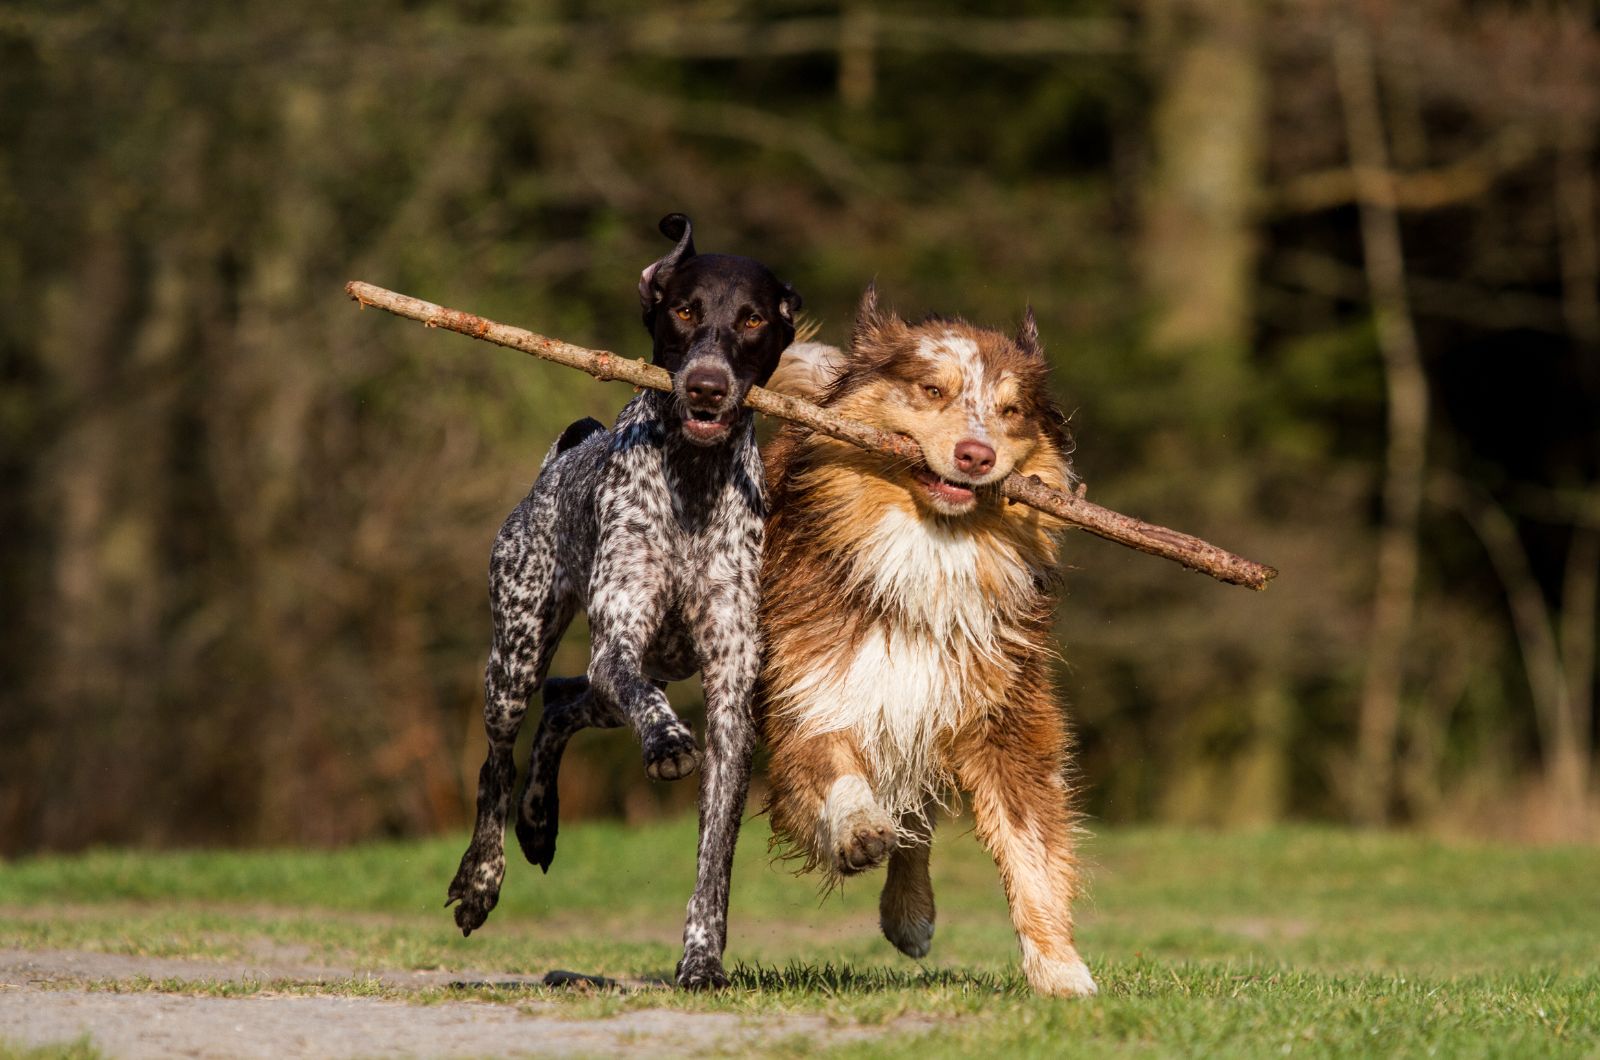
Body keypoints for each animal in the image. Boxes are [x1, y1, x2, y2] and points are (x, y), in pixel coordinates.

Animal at [444, 211, 800, 992]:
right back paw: (482, 878)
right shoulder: (622, 648)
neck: (693, 480)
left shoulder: (731, 698)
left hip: (617, 676)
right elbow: (645, 700)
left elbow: (714, 859)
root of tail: (560, 458)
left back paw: (541, 819)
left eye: (753, 318)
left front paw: (701, 958)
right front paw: (666, 740)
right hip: (514, 655)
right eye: (685, 311)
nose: (706, 386)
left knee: (562, 702)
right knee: (499, 760)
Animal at [755, 286, 1094, 999]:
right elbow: (837, 770)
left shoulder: (1003, 718)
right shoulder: (812, 690)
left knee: (918, 818)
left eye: (1010, 410)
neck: (927, 554)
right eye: (932, 389)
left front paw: (1060, 970)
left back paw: (910, 916)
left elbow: (1030, 852)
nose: (976, 455)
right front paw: (858, 829)